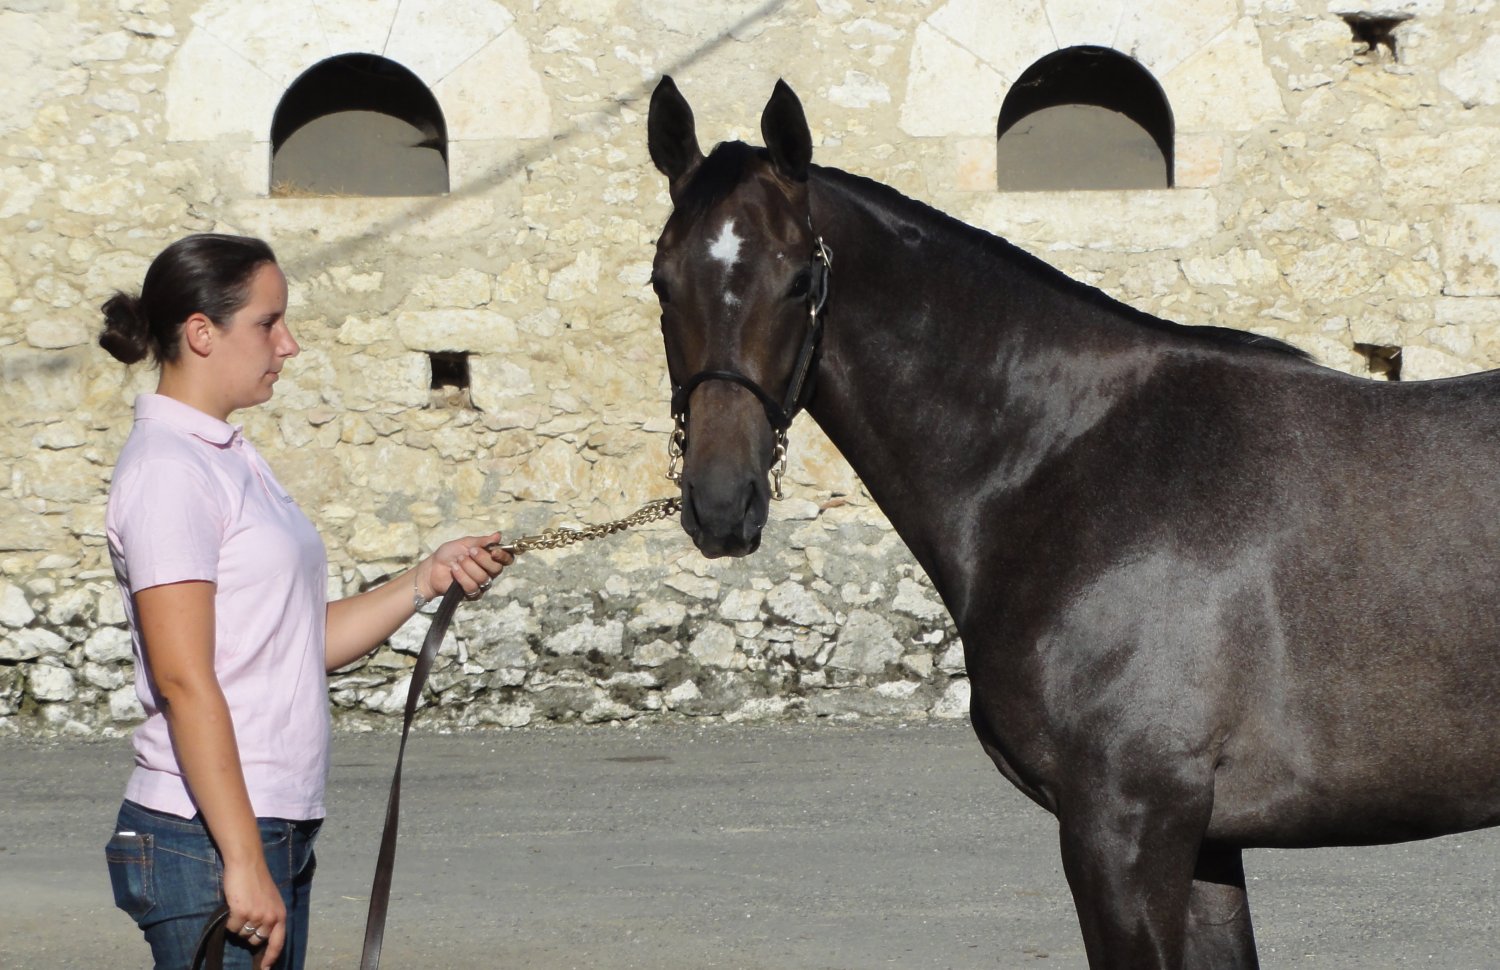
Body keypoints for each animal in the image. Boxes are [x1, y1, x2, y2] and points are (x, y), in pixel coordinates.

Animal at [644, 76, 1500, 969]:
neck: (1072, 459)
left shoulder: (1125, 828)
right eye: (661, 282)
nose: (720, 501)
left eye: (798, 283)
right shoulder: (1203, 844)